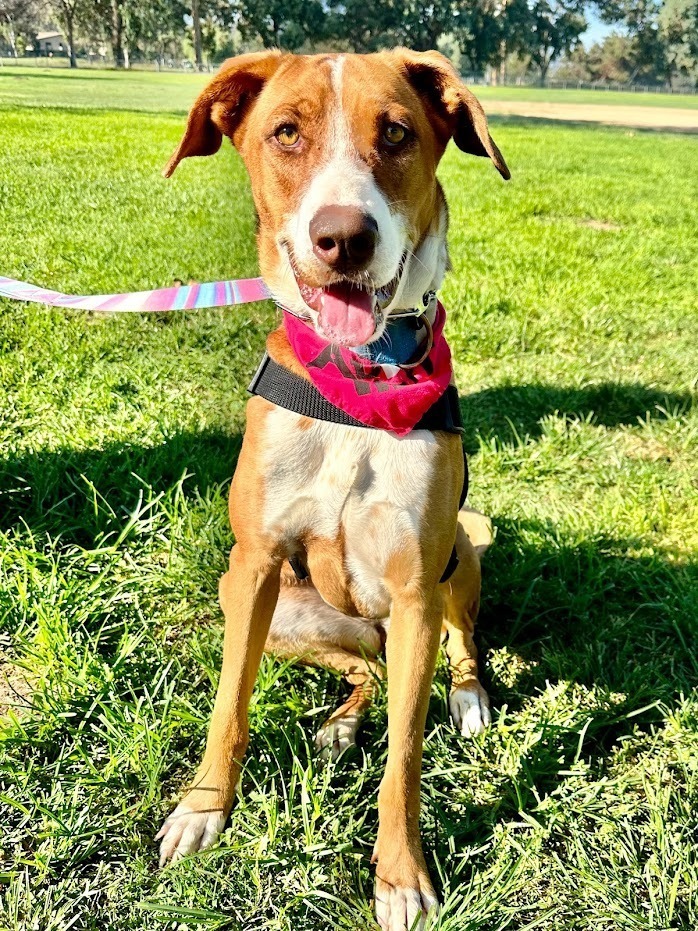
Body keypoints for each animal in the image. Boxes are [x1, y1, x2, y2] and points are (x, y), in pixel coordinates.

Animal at [155, 49, 508, 931]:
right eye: (286, 132)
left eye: (399, 133)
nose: (344, 237)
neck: (360, 380)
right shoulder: (252, 567)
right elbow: (229, 705)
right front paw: (202, 810)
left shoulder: (417, 588)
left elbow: (406, 754)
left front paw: (401, 875)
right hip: (276, 606)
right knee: (367, 673)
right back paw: (341, 727)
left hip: (459, 558)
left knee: (453, 648)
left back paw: (468, 697)